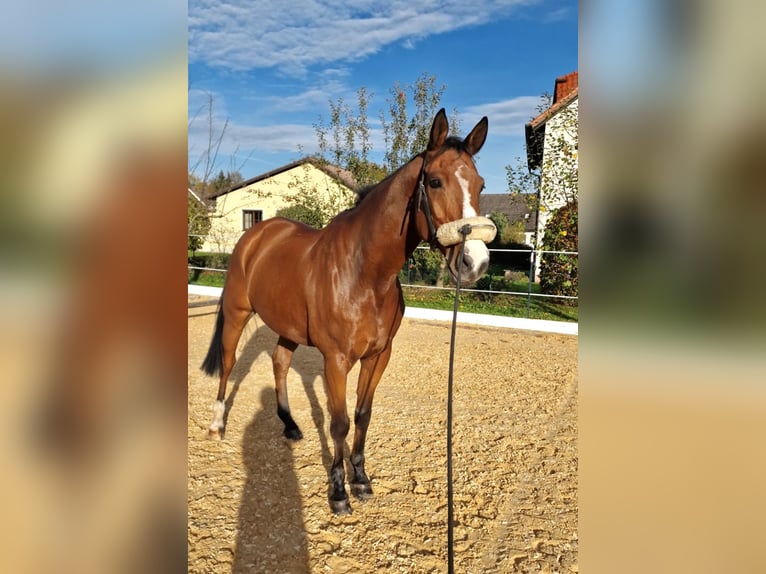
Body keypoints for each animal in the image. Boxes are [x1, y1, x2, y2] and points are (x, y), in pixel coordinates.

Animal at [201, 109, 496, 516]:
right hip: (236, 312)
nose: (475, 262)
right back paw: (217, 426)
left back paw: (290, 425)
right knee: (229, 364)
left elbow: (362, 415)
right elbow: (338, 422)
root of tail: (256, 233)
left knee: (279, 362)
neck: (364, 274)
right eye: (435, 182)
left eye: (480, 185)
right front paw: (338, 491)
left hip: (288, 328)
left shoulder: (378, 356)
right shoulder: (336, 359)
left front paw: (361, 479)